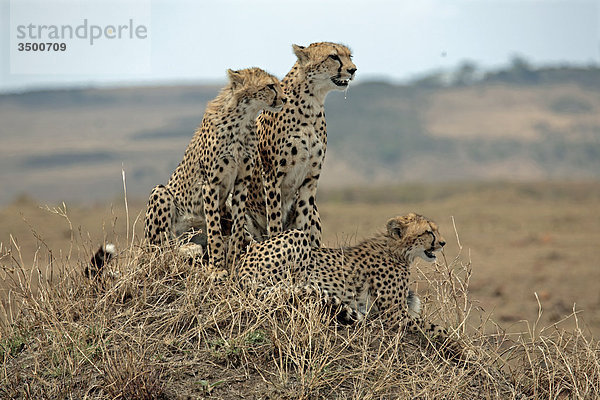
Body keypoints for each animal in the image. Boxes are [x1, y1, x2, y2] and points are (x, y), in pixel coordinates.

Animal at [145, 68, 286, 272]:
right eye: (270, 86)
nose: (284, 98)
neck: (243, 120)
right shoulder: (210, 183)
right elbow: (214, 230)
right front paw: (217, 269)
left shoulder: (241, 183)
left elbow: (237, 226)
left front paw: (233, 260)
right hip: (161, 195)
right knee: (162, 248)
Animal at [237, 212, 452, 346]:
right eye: (428, 232)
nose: (443, 243)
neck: (397, 250)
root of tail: (243, 263)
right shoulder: (394, 315)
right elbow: (437, 328)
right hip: (297, 237)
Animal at [244, 41, 356, 247]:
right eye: (333, 56)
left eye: (349, 57)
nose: (353, 70)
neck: (311, 103)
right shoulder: (272, 175)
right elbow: (275, 218)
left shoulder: (311, 177)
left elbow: (304, 218)